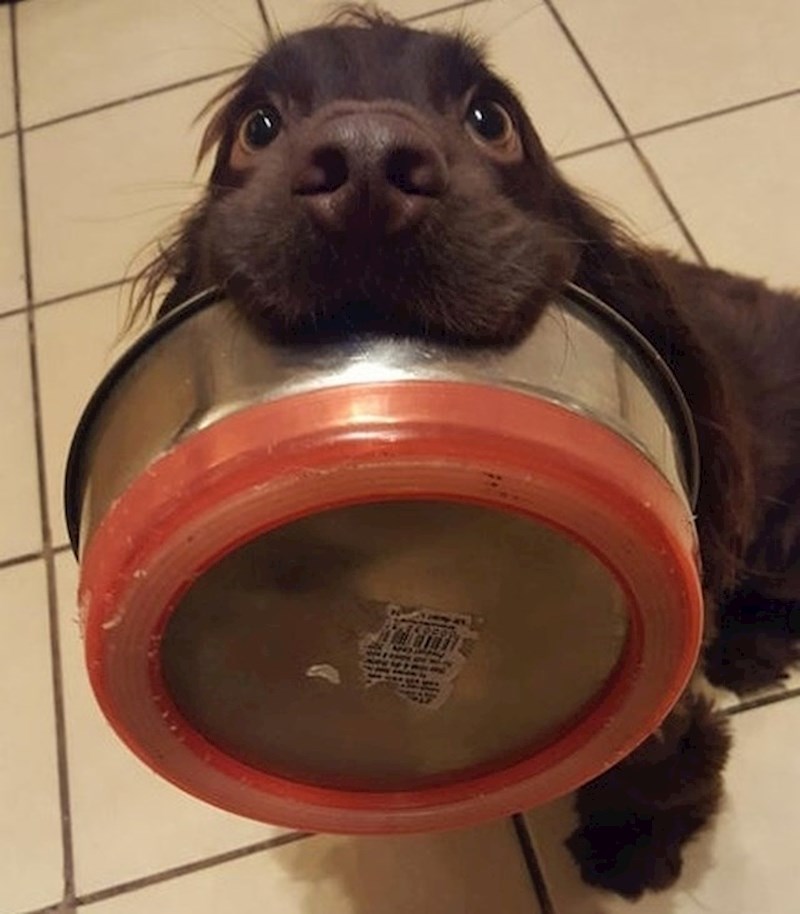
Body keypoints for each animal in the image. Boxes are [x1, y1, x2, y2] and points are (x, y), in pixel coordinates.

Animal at [134, 6, 800, 900]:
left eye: (492, 119)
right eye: (257, 127)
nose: (367, 166)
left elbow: (657, 757)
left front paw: (636, 839)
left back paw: (751, 643)